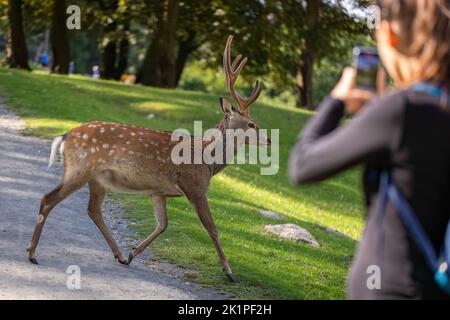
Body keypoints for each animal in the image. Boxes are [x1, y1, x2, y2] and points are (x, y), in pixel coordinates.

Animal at [26, 36, 268, 282]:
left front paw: (133, 253)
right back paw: (32, 253)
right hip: (80, 169)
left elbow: (163, 224)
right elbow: (212, 228)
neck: (209, 163)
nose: (268, 139)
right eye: (251, 124)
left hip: (97, 179)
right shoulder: (196, 186)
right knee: (48, 199)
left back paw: (120, 255)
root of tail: (65, 135)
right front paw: (229, 272)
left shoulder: (159, 191)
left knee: (93, 210)